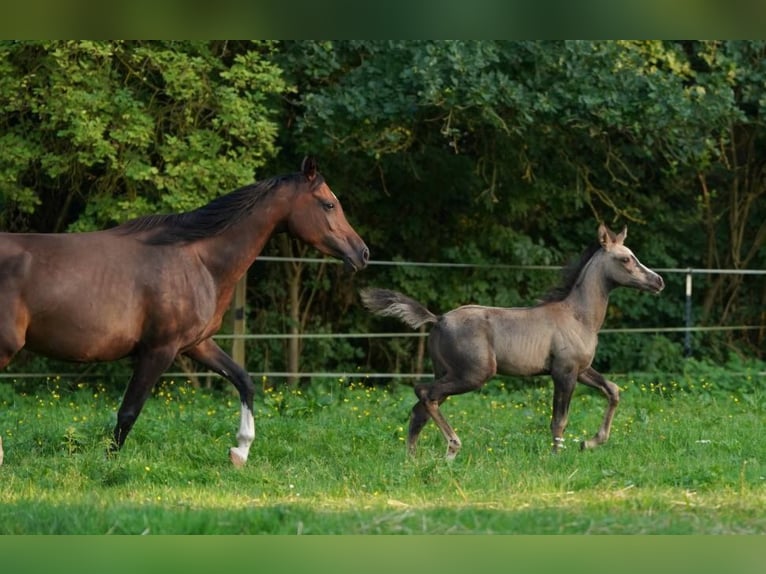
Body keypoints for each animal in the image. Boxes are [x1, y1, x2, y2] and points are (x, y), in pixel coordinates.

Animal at [0, 158, 368, 468]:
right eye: (329, 203)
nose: (362, 253)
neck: (198, 260)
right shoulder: (159, 350)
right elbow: (128, 411)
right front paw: (106, 464)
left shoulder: (196, 345)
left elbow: (244, 380)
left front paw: (240, 451)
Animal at [364, 223, 664, 462]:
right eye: (625, 259)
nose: (658, 281)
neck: (578, 316)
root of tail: (437, 319)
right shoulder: (564, 372)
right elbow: (559, 420)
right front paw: (557, 457)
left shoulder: (581, 370)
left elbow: (613, 390)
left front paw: (589, 443)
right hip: (473, 375)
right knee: (424, 393)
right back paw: (452, 448)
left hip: (448, 373)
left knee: (421, 409)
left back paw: (413, 460)